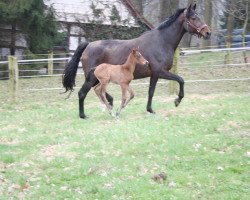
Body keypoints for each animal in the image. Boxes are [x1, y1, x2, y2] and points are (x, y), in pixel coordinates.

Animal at [62, 3, 211, 119]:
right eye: (193, 18)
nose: (207, 32)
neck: (162, 42)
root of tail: (88, 45)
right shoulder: (158, 72)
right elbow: (171, 83)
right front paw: (173, 102)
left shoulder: (157, 74)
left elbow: (172, 83)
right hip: (92, 78)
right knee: (83, 93)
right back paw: (83, 115)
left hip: (96, 78)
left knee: (97, 91)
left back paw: (109, 104)